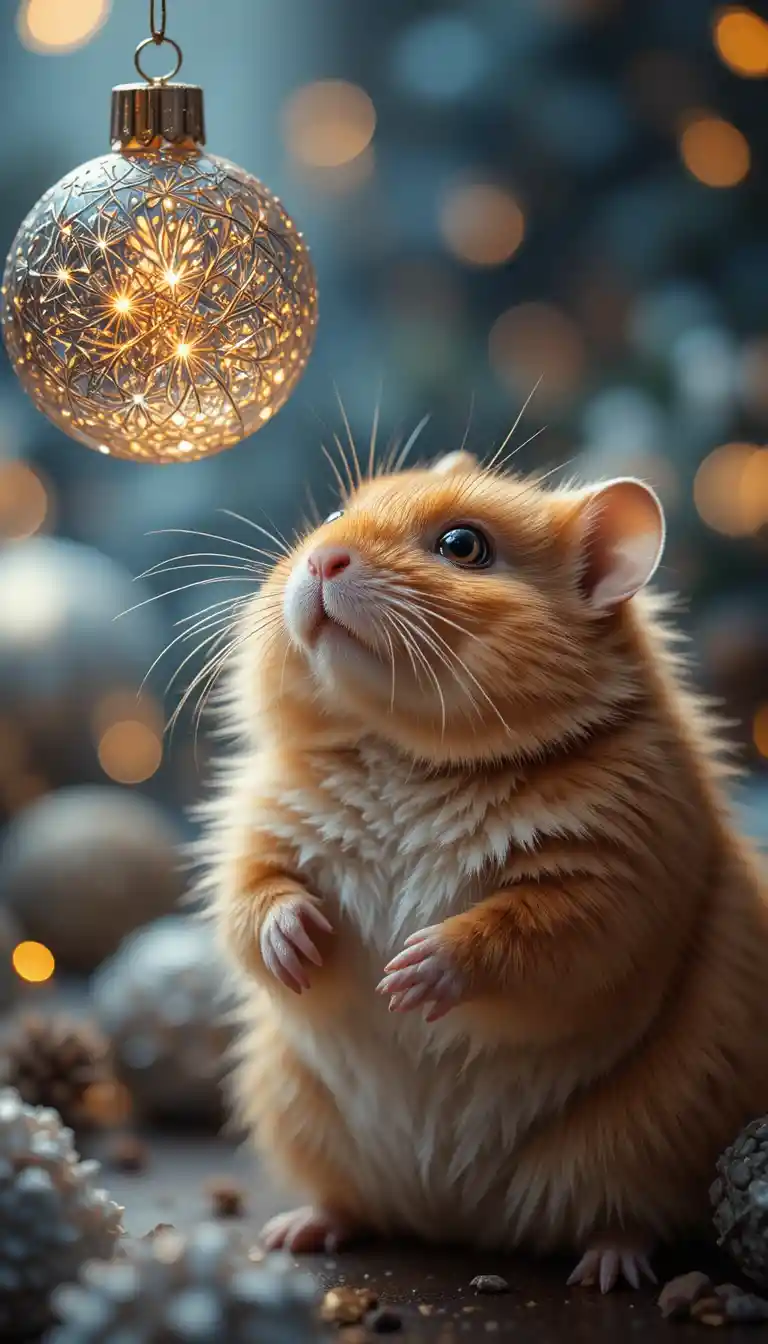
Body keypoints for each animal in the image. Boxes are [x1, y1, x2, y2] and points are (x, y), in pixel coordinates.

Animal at [199, 449, 768, 1292]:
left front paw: (411, 976)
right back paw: (300, 1229)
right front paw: (299, 943)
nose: (321, 560)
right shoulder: (259, 826)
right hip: (300, 1115)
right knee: (350, 1203)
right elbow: (252, 902)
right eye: (334, 515)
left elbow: (535, 937)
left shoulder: (618, 869)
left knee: (629, 1213)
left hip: (647, 1137)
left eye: (464, 546)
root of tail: (460, 1219)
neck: (407, 752)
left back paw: (609, 1268)